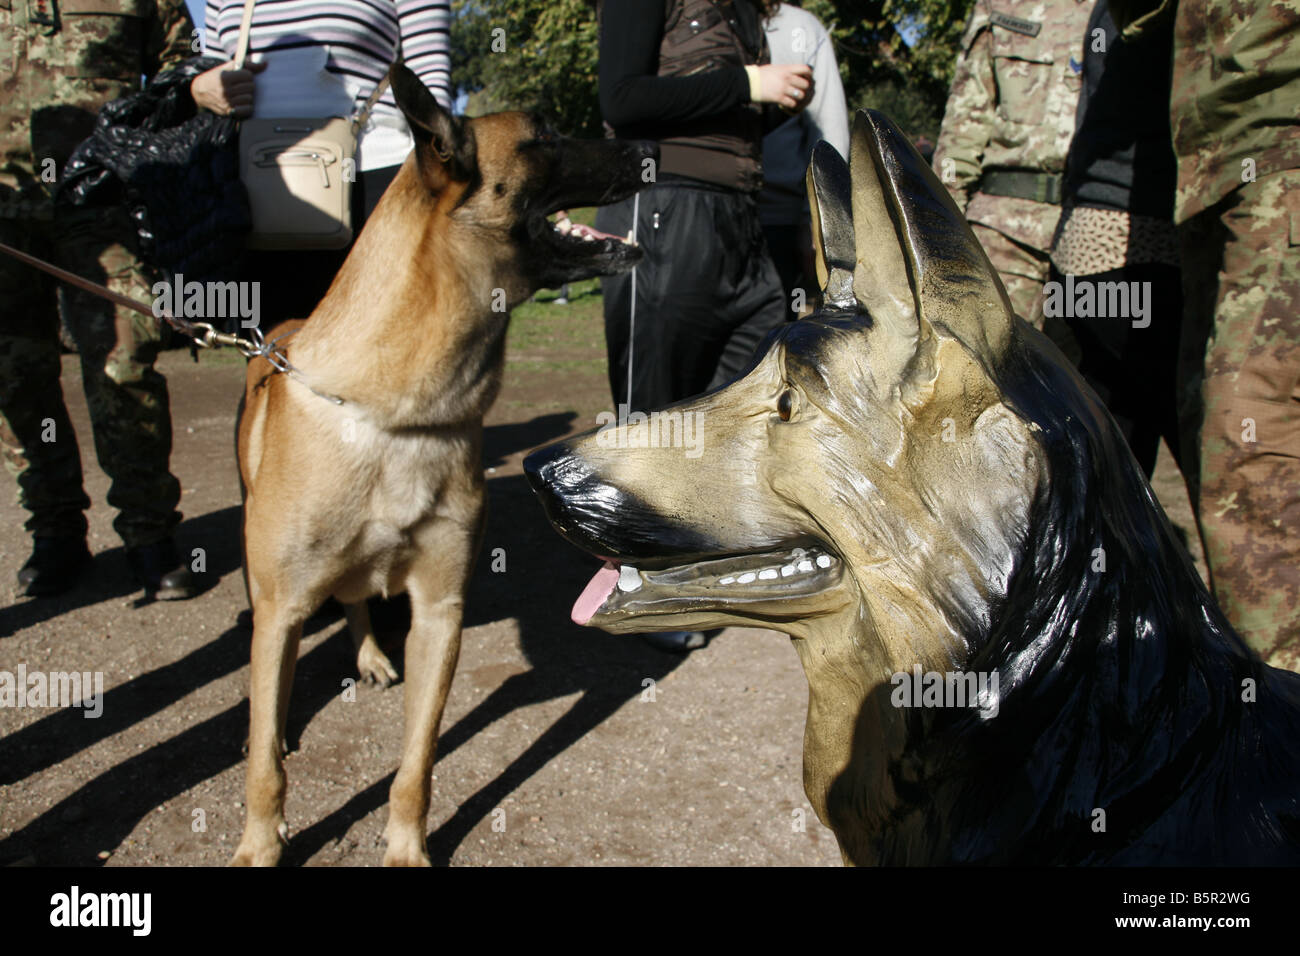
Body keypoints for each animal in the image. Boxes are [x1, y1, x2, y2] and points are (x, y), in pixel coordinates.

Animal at [232, 61, 655, 868]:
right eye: (543, 133)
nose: (648, 144)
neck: (398, 416)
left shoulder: (439, 613)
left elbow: (416, 764)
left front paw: (404, 847)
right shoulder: (284, 605)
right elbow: (264, 761)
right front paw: (259, 845)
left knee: (359, 599)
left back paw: (369, 655)